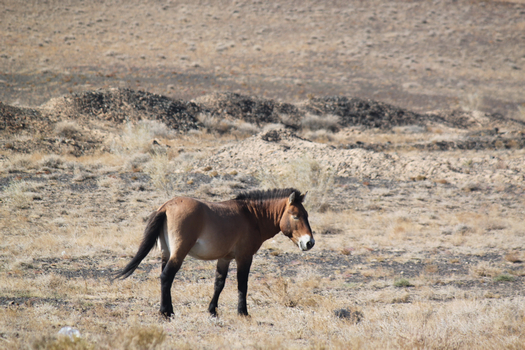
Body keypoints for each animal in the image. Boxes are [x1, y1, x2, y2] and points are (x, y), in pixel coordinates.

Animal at [112, 189, 314, 318]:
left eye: (307, 214)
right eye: (296, 215)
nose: (309, 242)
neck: (251, 216)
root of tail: (166, 207)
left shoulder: (224, 259)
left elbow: (219, 284)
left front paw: (212, 310)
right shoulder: (244, 258)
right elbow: (242, 285)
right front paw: (243, 313)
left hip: (166, 253)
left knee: (165, 278)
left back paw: (169, 310)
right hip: (178, 253)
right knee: (166, 277)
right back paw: (165, 312)